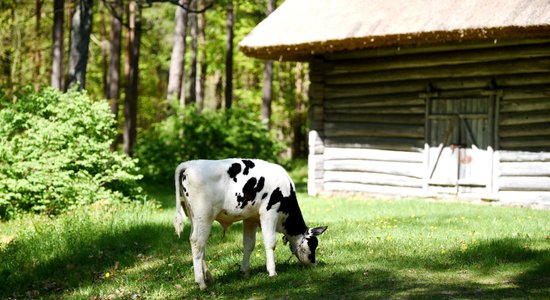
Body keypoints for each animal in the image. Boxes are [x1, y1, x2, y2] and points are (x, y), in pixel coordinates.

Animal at [175, 158, 328, 290]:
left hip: (195, 218)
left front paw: (245, 272)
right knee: (197, 243)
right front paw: (272, 272)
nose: (314, 263)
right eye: (312, 244)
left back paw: (209, 277)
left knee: (198, 244)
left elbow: (249, 244)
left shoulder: (250, 218)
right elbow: (270, 242)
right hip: (204, 216)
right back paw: (201, 283)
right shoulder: (269, 213)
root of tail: (189, 164)